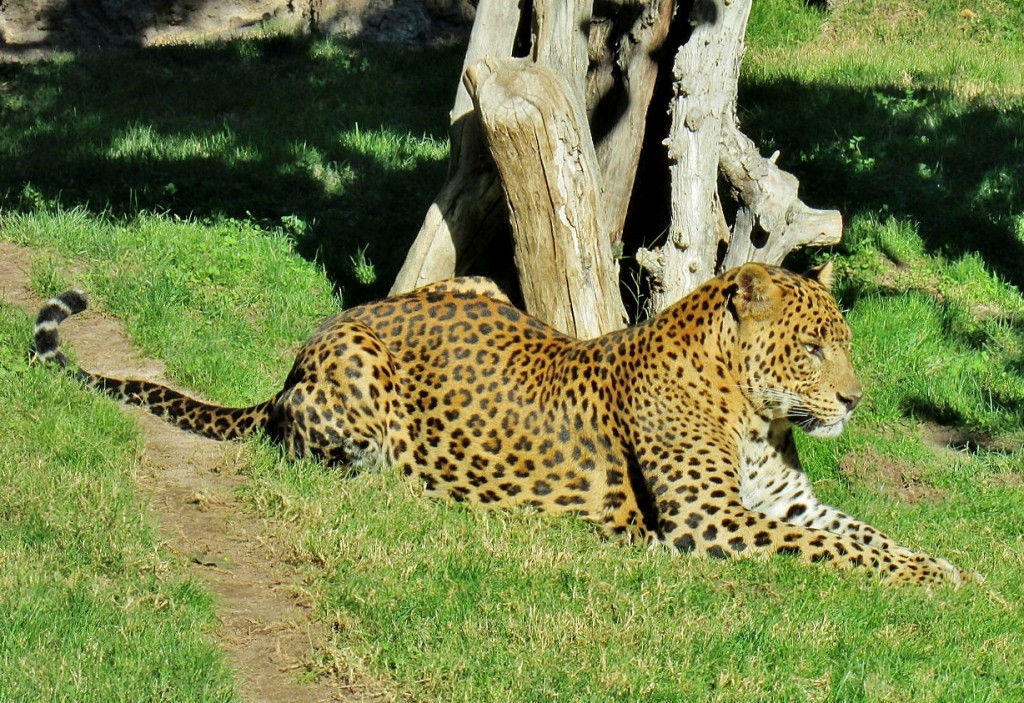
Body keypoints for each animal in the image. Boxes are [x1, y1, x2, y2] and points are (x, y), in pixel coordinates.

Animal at [34, 260, 974, 585]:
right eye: (815, 348)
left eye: (844, 343)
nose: (855, 400)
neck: (752, 415)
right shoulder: (710, 523)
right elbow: (836, 550)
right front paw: (940, 580)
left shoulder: (784, 504)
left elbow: (865, 535)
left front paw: (953, 568)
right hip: (355, 373)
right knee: (308, 446)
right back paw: (386, 474)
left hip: (477, 280)